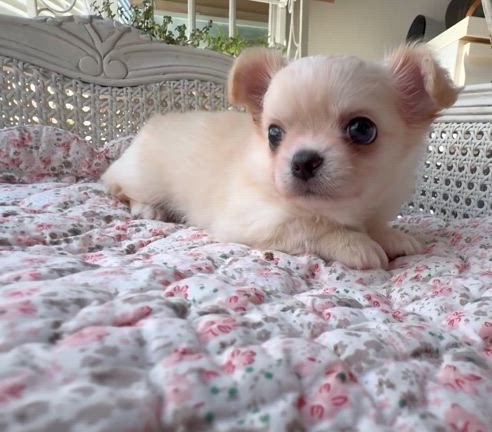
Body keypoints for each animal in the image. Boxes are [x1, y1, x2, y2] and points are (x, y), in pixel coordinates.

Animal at [102, 44, 460, 270]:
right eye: (274, 134)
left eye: (362, 129)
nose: (303, 160)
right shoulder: (252, 219)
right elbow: (311, 225)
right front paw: (356, 243)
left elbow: (373, 223)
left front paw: (390, 235)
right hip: (143, 178)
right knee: (118, 188)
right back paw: (149, 208)